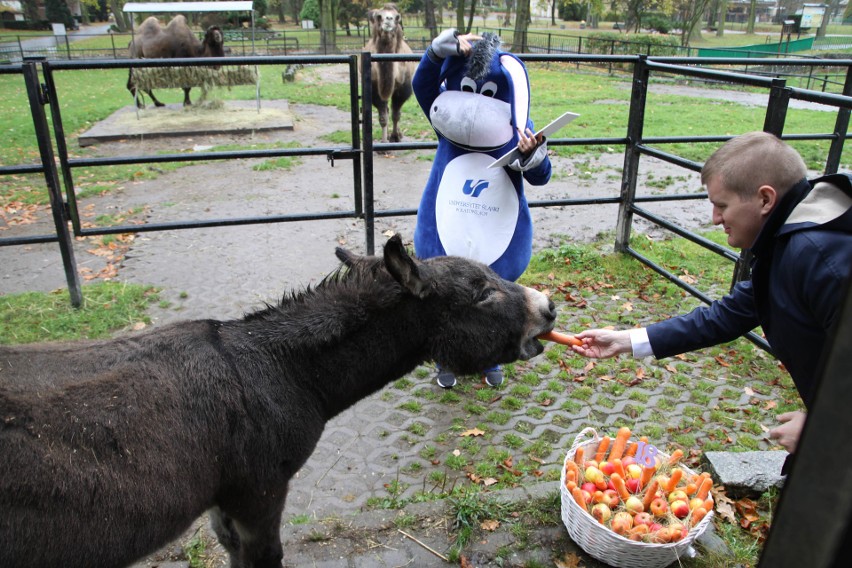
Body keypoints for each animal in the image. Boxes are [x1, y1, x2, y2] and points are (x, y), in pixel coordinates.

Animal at [364, 3, 414, 144]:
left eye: (397, 17)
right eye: (379, 16)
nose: (388, 20)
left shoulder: (403, 89)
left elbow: (396, 115)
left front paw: (395, 136)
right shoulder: (374, 89)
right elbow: (383, 117)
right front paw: (384, 142)